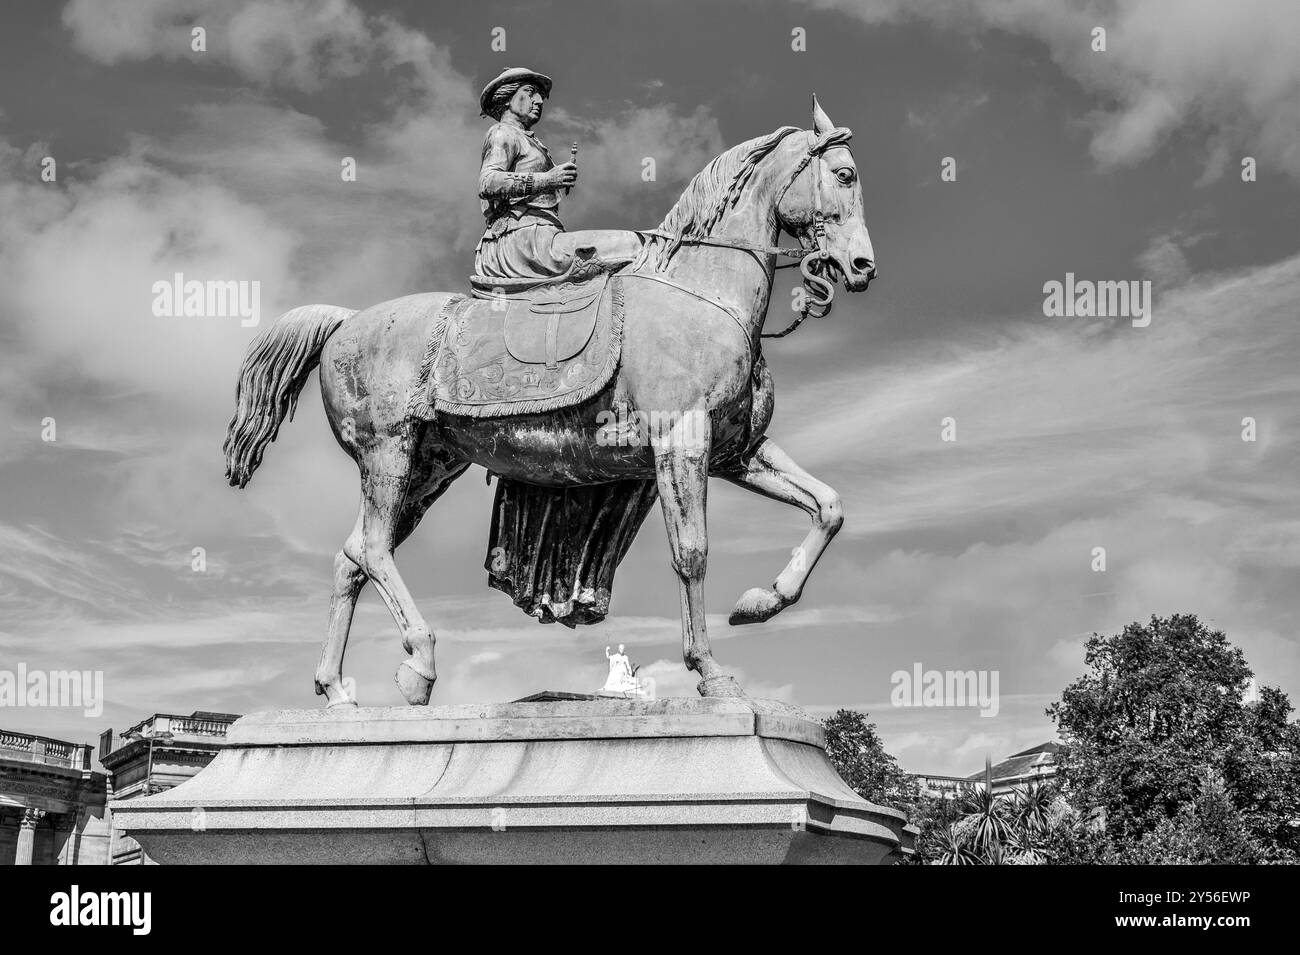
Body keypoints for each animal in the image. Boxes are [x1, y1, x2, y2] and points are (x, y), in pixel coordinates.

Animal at [223, 98, 878, 712]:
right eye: (845, 175)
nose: (862, 267)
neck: (702, 293)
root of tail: (346, 320)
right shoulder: (681, 440)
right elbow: (692, 553)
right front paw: (711, 674)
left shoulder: (735, 451)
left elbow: (829, 507)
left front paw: (759, 602)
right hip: (389, 450)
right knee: (371, 549)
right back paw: (420, 665)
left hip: (429, 467)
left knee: (350, 559)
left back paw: (338, 692)